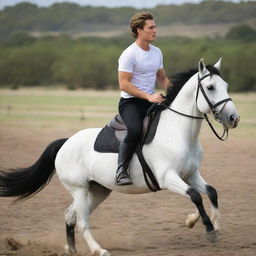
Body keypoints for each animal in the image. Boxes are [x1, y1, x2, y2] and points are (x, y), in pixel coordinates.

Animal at [0, 58, 240, 256]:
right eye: (210, 87)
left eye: (226, 86)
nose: (233, 118)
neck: (177, 132)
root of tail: (65, 143)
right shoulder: (168, 178)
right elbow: (195, 196)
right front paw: (209, 230)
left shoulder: (190, 174)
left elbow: (210, 192)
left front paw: (204, 222)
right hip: (79, 189)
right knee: (81, 222)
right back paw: (99, 250)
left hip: (97, 191)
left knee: (70, 216)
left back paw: (73, 250)